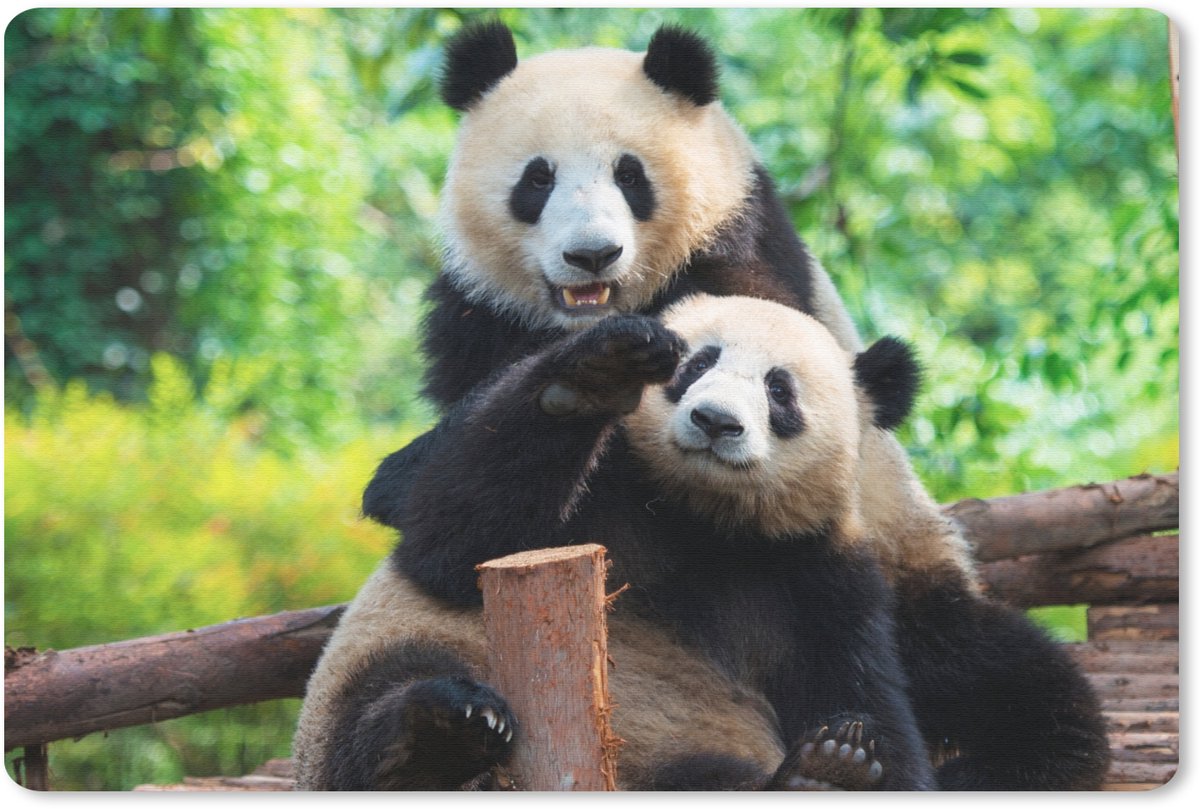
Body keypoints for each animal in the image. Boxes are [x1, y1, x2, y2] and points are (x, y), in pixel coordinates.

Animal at [295, 294, 938, 790]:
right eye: (696, 364)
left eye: (779, 390)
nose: (714, 421)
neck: (698, 517)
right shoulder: (602, 490)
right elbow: (452, 540)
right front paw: (596, 373)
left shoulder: (817, 577)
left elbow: (871, 709)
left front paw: (849, 756)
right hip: (393, 663)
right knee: (381, 700)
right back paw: (439, 737)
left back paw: (823, 775)